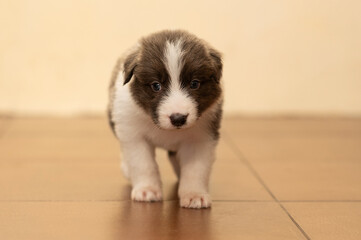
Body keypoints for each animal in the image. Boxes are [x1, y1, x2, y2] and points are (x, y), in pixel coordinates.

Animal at [107, 29, 222, 208]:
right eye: (156, 85)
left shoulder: (201, 137)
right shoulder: (134, 134)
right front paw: (147, 190)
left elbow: (196, 168)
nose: (178, 118)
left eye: (194, 84)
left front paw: (194, 195)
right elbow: (143, 164)